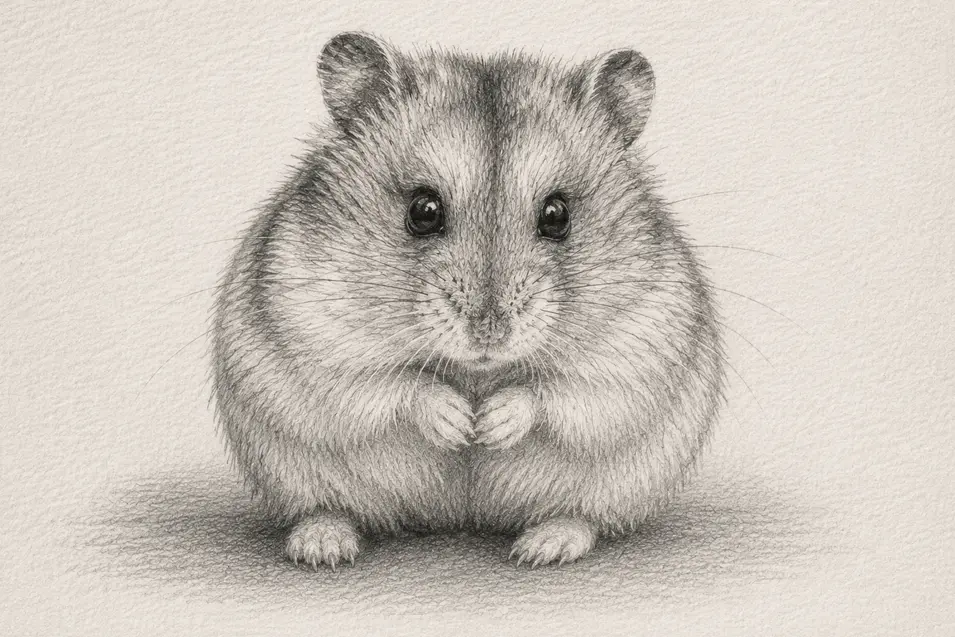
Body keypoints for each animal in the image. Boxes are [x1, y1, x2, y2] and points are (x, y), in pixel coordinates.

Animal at [211, 31, 725, 569]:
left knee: (585, 516)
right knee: (324, 506)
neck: (476, 373)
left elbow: (556, 391)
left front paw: (488, 427)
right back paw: (322, 546)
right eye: (423, 211)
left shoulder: (636, 351)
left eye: (557, 215)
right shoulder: (313, 335)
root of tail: (459, 520)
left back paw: (542, 547)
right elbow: (393, 384)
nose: (489, 333)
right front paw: (460, 425)